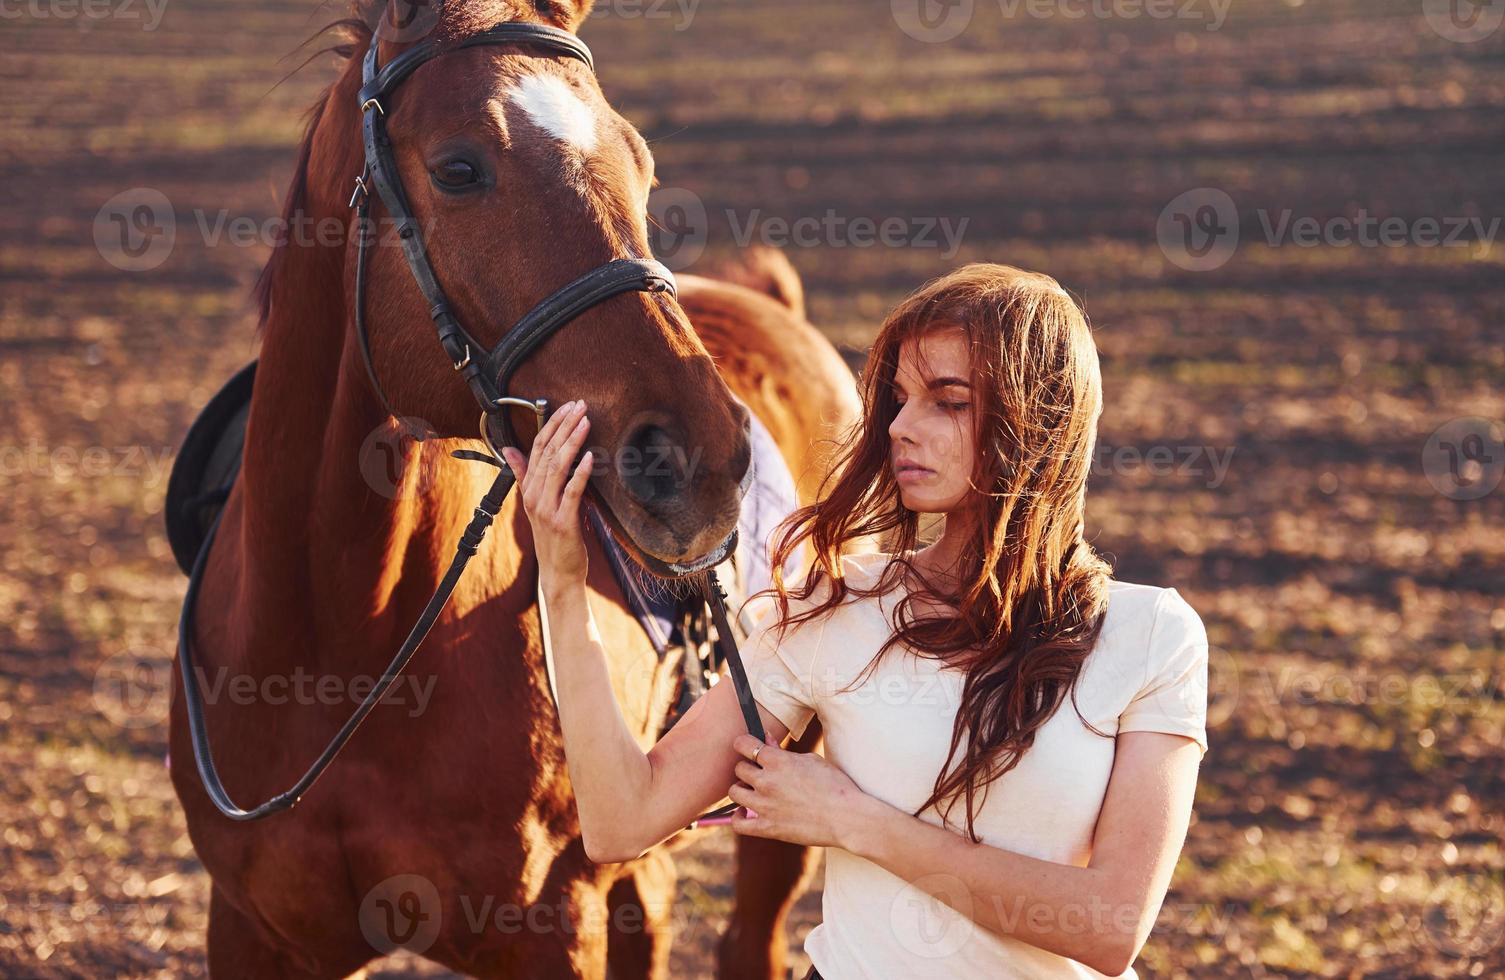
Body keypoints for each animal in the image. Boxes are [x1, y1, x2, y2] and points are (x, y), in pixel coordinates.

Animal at [167, 1, 860, 980]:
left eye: (639, 163)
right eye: (459, 169)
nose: (698, 458)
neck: (343, 650)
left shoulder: (551, 927)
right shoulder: (250, 930)